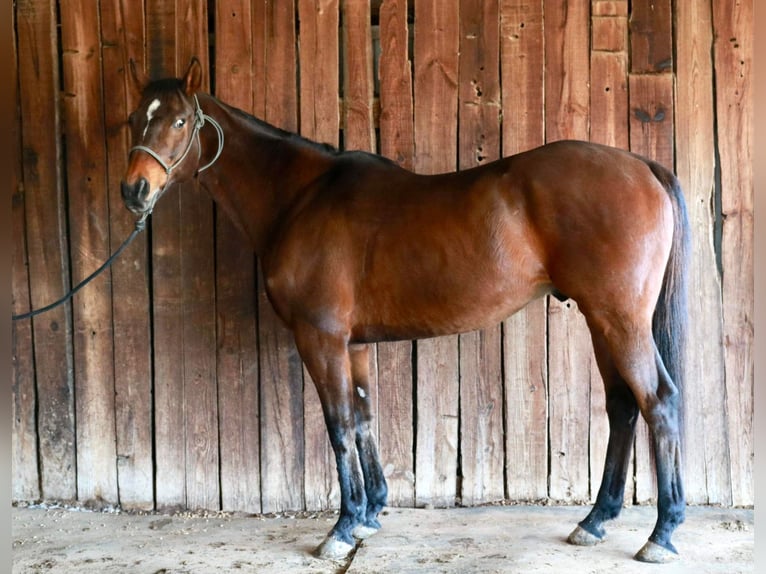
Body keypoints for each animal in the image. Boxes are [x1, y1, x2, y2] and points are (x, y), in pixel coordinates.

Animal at [121, 59, 688, 568]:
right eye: (133, 118)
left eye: (179, 120)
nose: (134, 190)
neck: (301, 198)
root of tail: (641, 166)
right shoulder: (352, 343)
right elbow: (364, 417)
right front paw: (371, 512)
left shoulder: (320, 338)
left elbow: (338, 424)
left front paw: (342, 528)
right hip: (602, 322)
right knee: (622, 406)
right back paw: (595, 520)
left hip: (619, 320)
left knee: (657, 401)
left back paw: (661, 534)